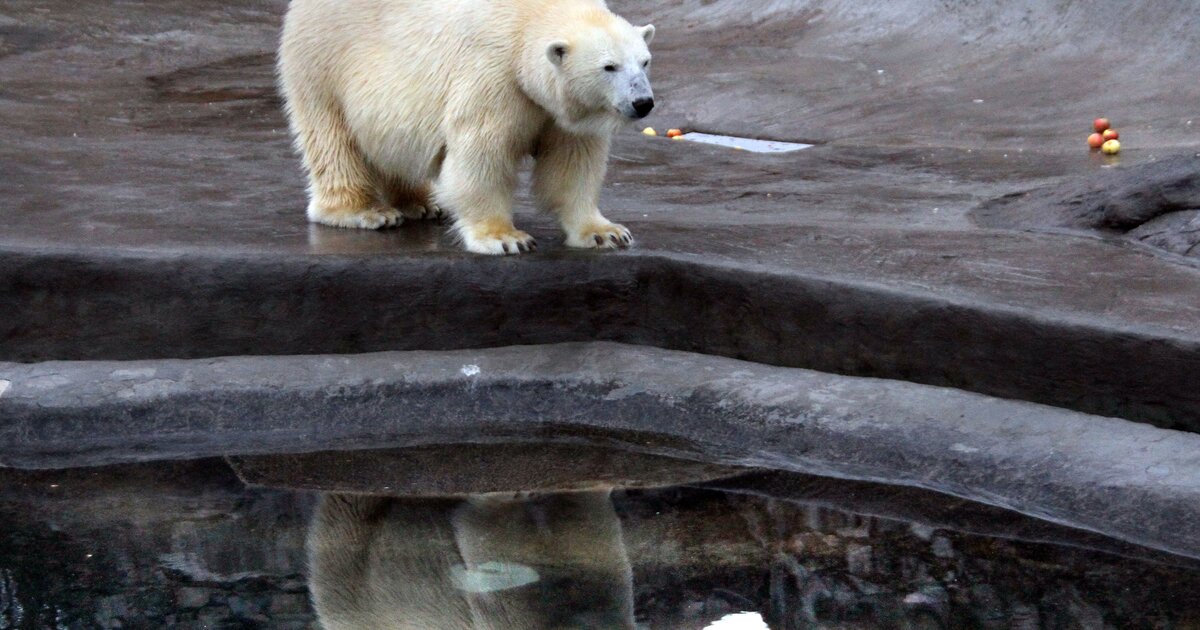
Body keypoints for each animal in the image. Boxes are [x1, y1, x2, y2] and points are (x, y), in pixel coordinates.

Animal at [277, 0, 657, 253]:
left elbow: (571, 163)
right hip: (324, 61)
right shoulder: (494, 76)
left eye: (644, 61)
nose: (643, 102)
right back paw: (365, 212)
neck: (527, 16)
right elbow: (482, 156)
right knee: (333, 139)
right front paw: (504, 238)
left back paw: (422, 203)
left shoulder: (559, 112)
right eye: (609, 66)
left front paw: (606, 232)